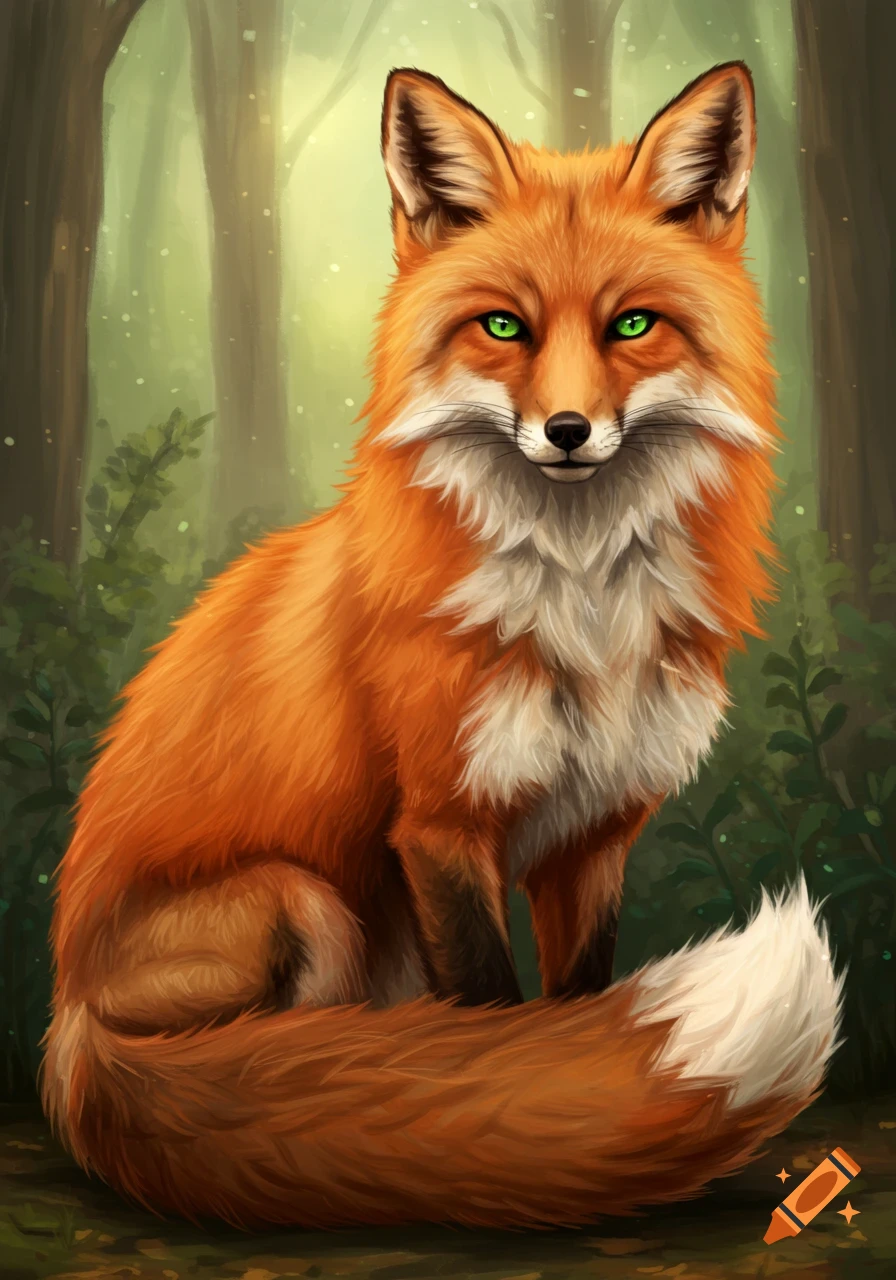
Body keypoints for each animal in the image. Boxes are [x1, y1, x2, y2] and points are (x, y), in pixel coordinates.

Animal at [42, 62, 843, 1230]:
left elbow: (575, 1005)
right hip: (305, 901)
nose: (567, 431)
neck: (581, 613)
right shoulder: (438, 823)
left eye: (632, 324)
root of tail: (63, 1024)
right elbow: (495, 1020)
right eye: (502, 327)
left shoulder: (593, 830)